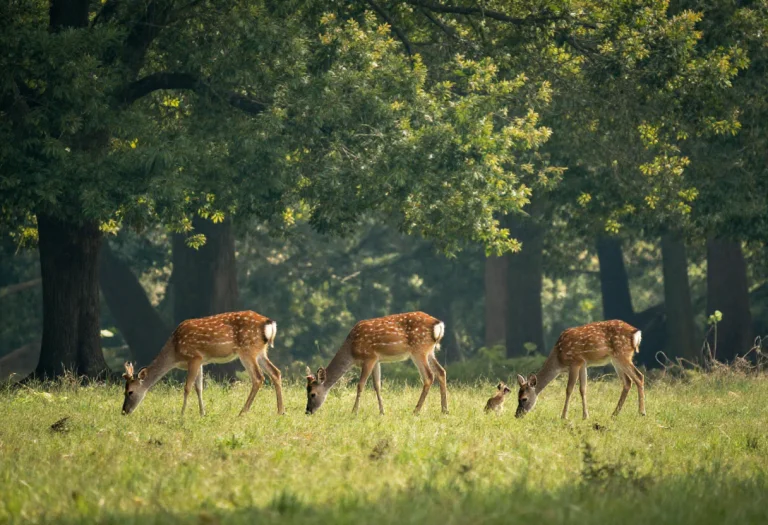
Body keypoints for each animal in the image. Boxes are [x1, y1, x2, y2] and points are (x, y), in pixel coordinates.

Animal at [121, 310, 283, 417]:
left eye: (130, 392)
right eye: (124, 391)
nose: (124, 411)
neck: (174, 352)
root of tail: (269, 323)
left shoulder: (194, 357)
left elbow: (187, 387)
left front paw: (182, 414)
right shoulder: (201, 361)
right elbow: (199, 387)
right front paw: (202, 413)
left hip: (247, 349)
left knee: (258, 377)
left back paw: (242, 412)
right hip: (260, 351)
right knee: (275, 372)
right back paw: (281, 411)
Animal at [304, 312, 447, 416]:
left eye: (313, 394)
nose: (307, 411)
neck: (351, 351)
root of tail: (438, 325)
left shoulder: (369, 357)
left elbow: (360, 385)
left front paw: (354, 411)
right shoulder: (377, 360)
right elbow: (377, 385)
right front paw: (382, 412)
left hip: (418, 350)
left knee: (429, 376)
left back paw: (416, 411)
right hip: (429, 351)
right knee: (441, 371)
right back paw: (444, 410)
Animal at [515, 320, 645, 420]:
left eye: (524, 398)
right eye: (517, 396)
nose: (517, 415)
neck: (559, 359)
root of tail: (636, 333)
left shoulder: (575, 362)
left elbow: (569, 389)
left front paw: (563, 416)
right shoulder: (583, 364)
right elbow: (583, 389)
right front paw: (585, 416)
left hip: (622, 354)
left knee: (639, 376)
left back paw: (641, 412)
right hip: (616, 359)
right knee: (628, 381)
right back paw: (614, 414)